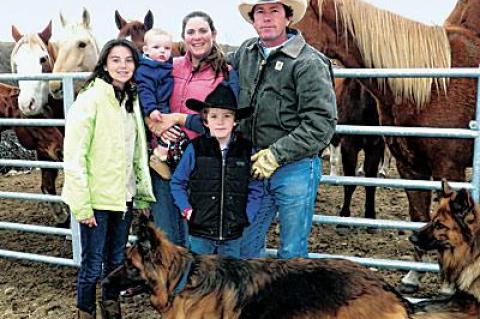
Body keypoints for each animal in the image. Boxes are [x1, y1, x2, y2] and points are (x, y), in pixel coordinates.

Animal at [296, 0, 480, 294]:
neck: (431, 85)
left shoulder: (448, 168)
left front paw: (449, 288)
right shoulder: (410, 168)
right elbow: (418, 215)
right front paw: (412, 277)